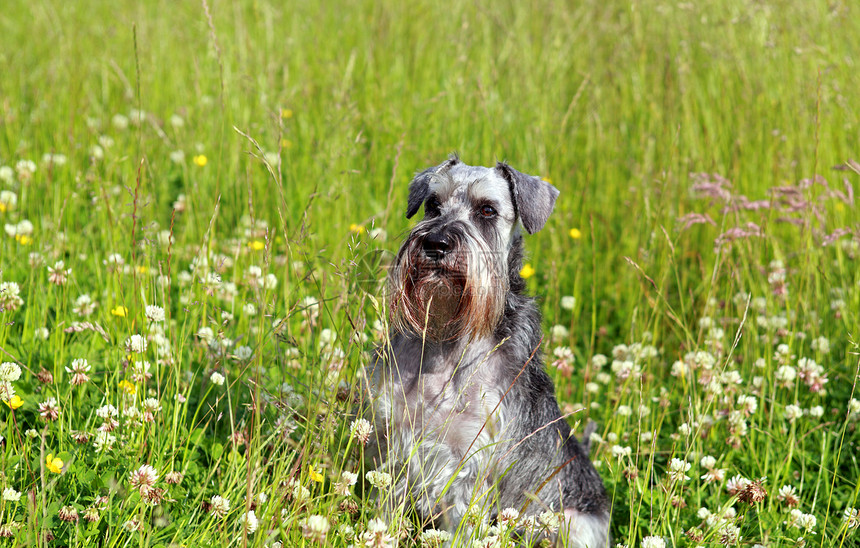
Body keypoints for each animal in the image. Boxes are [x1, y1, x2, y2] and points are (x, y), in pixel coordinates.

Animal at [366, 155, 608, 548]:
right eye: (432, 204)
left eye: (487, 210)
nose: (435, 243)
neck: (447, 341)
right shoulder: (396, 442)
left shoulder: (468, 467)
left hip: (572, 524)